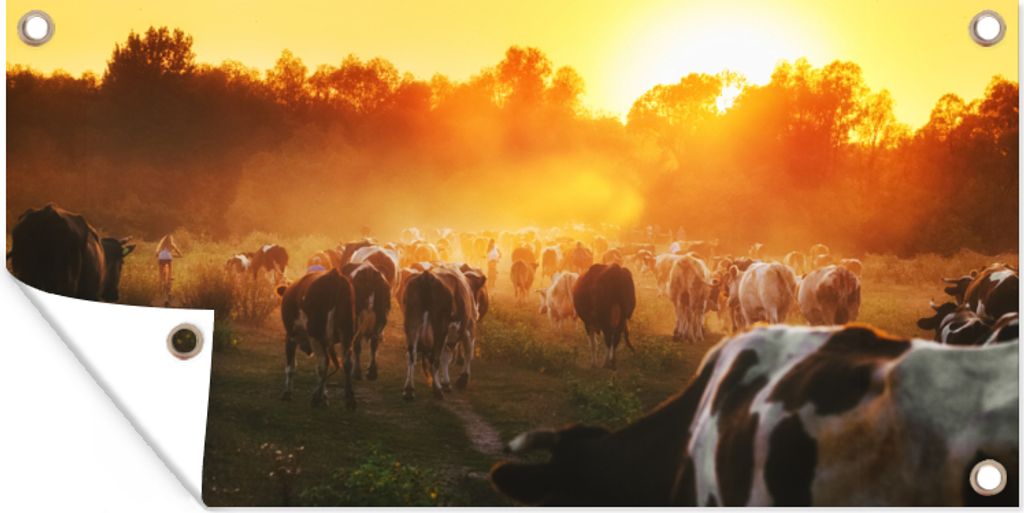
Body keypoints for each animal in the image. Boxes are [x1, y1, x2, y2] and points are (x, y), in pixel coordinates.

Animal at [277, 269, 357, 409]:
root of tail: (334, 275)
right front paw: (324, 396)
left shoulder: (291, 336)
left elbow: (291, 367)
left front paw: (287, 393)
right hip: (347, 332)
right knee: (347, 362)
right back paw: (349, 400)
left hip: (315, 333)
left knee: (323, 362)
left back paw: (316, 398)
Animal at [401, 266, 479, 400]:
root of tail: (426, 276)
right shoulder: (468, 326)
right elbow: (466, 352)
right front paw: (461, 380)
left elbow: (446, 355)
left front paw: (446, 383)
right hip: (439, 327)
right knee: (435, 358)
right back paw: (437, 390)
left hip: (412, 322)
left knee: (411, 355)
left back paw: (409, 390)